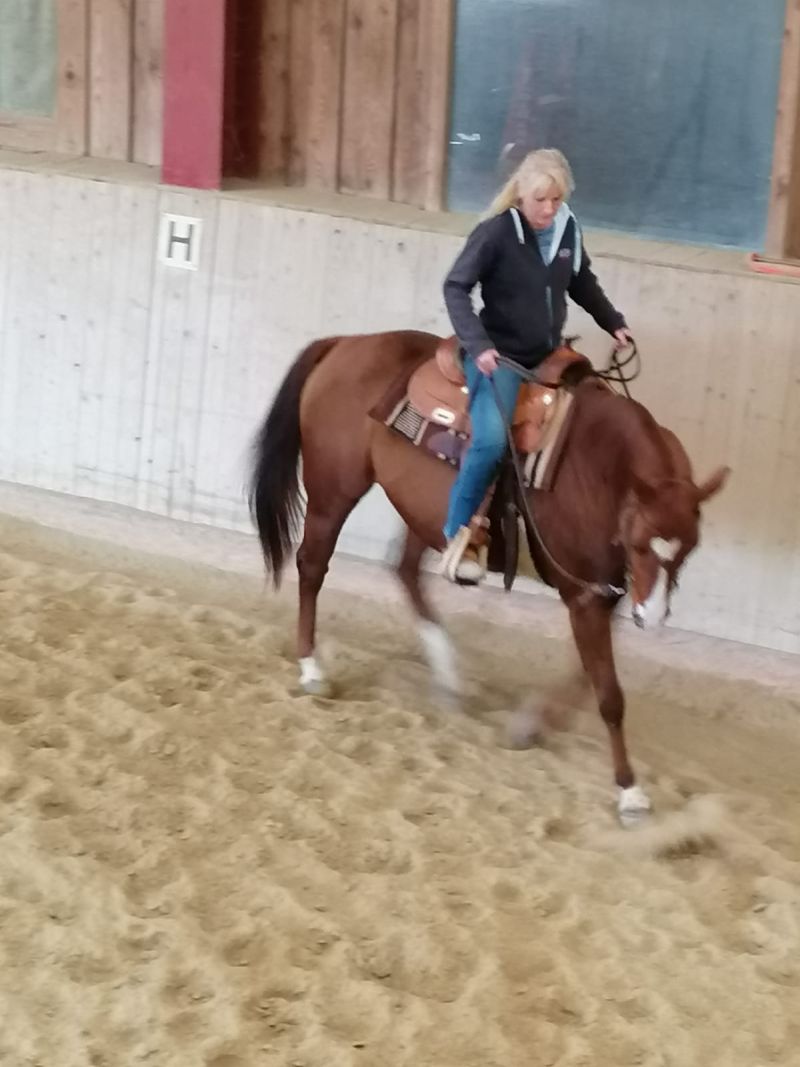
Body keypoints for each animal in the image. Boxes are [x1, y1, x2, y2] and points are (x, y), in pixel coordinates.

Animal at [248, 330, 729, 818]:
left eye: (690, 547)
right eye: (639, 544)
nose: (652, 616)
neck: (599, 469)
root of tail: (346, 342)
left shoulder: (603, 594)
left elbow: (585, 677)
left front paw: (529, 725)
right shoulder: (585, 596)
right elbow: (609, 695)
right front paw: (630, 791)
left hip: (426, 510)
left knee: (405, 571)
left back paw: (448, 675)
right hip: (334, 487)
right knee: (313, 565)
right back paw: (311, 668)